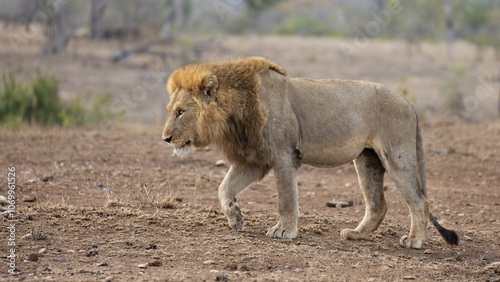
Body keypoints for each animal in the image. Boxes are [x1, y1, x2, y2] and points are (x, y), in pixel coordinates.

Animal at [162, 56, 458, 248]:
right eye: (171, 110)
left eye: (180, 112)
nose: (165, 138)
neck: (234, 112)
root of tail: (409, 102)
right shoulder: (254, 160)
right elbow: (224, 188)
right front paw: (235, 217)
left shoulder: (284, 155)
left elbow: (285, 198)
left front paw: (284, 231)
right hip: (367, 160)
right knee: (378, 204)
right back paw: (356, 234)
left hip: (397, 156)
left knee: (419, 201)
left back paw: (414, 241)